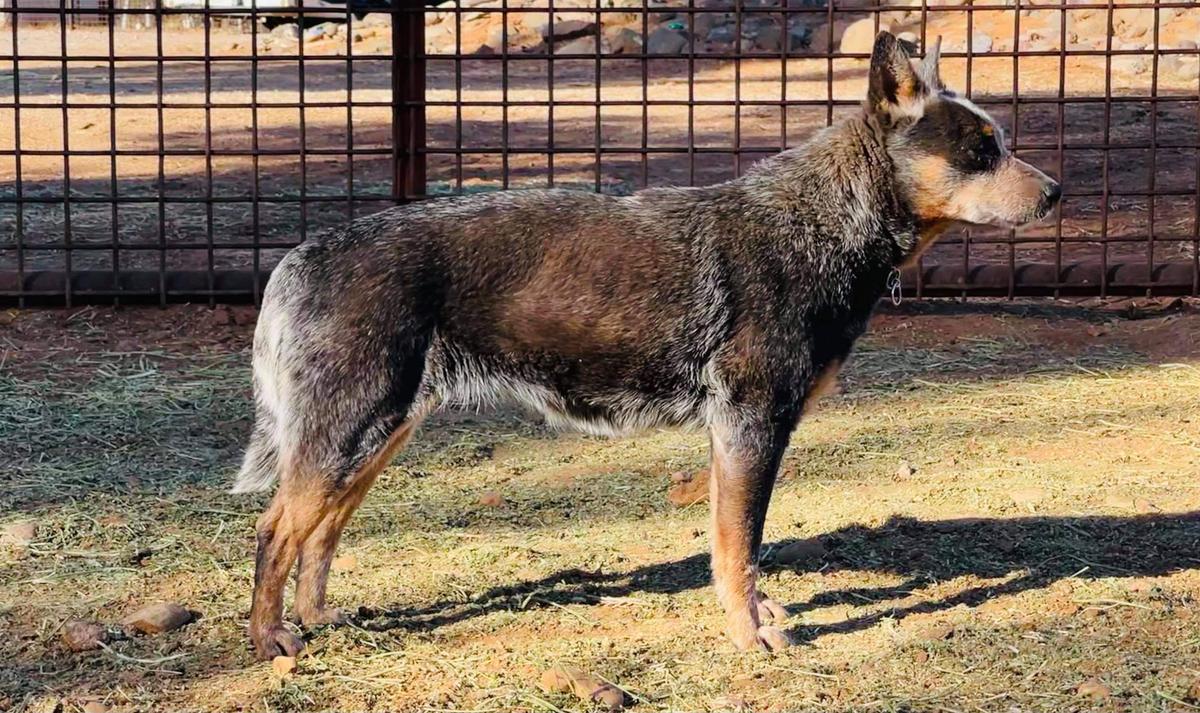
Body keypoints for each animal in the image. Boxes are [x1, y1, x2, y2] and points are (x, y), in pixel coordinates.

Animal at [234, 31, 1060, 652]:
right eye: (981, 149)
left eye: (1002, 142)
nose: (1055, 192)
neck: (824, 221)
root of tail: (300, 256)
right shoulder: (752, 424)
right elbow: (740, 547)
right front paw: (750, 635)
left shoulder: (734, 435)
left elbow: (732, 544)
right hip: (347, 433)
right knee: (276, 529)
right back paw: (271, 639)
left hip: (376, 435)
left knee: (322, 531)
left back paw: (317, 616)